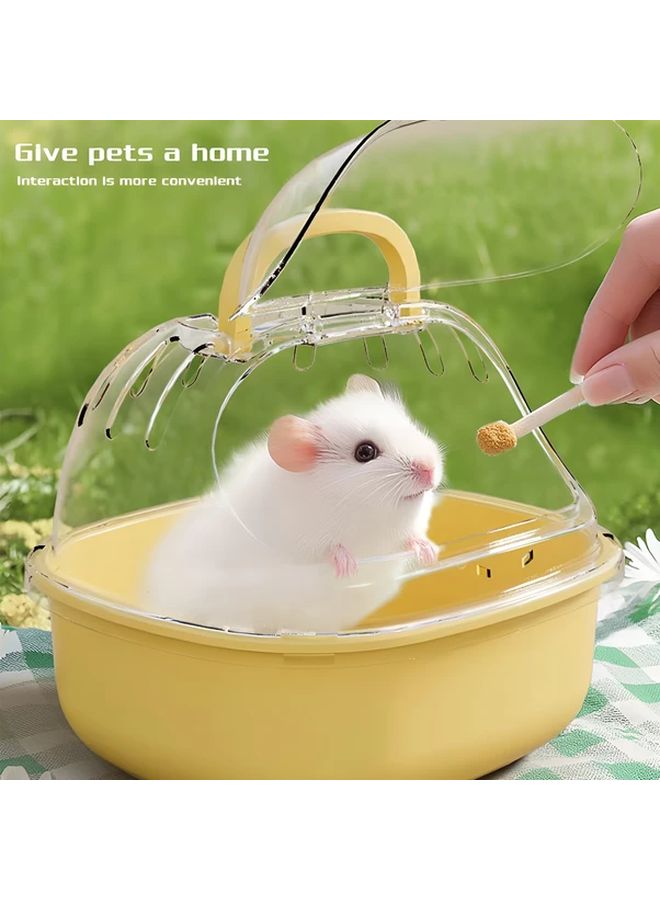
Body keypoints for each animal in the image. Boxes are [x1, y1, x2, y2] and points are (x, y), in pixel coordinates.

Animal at [143, 374, 444, 634]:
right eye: (365, 452)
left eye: (411, 427)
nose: (430, 469)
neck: (370, 513)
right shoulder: (306, 541)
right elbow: (330, 548)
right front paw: (347, 568)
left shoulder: (405, 531)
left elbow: (412, 537)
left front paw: (430, 554)